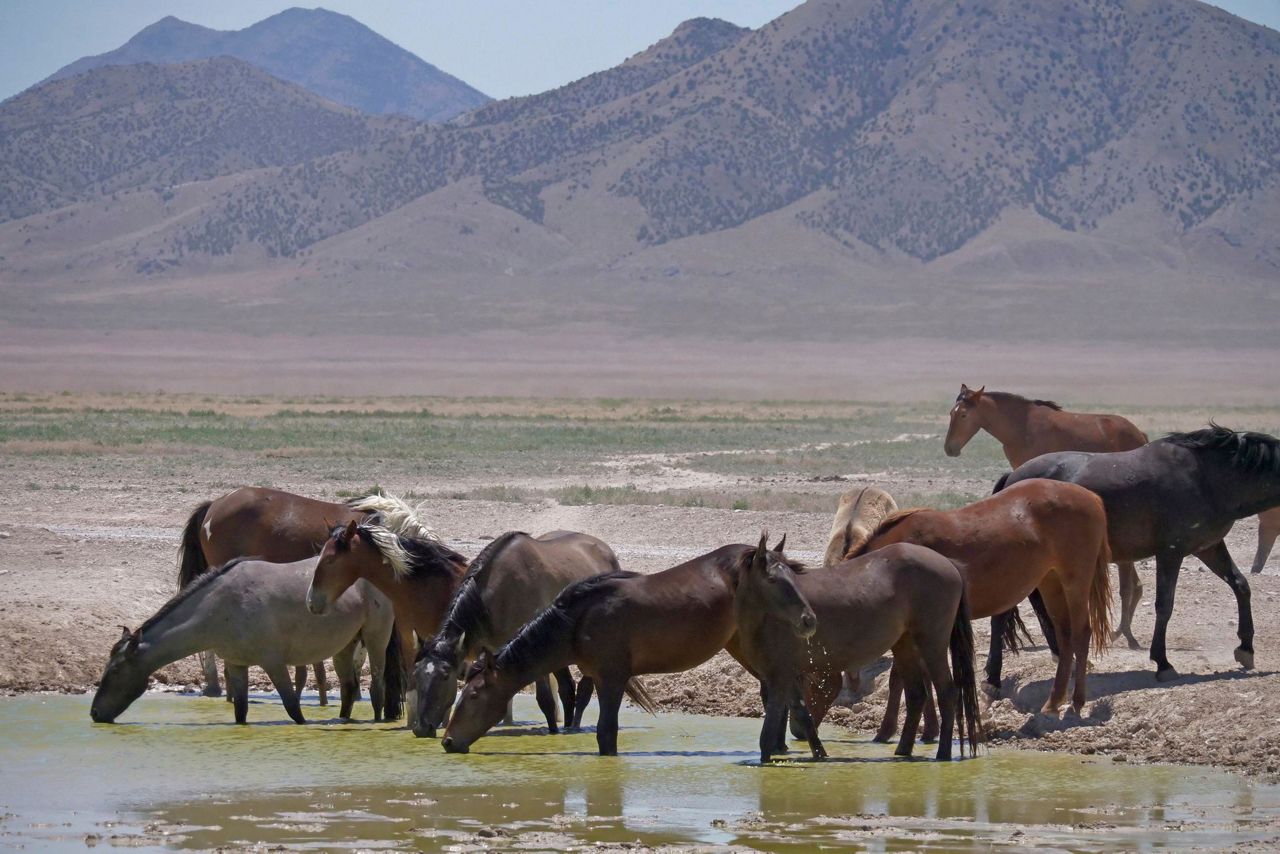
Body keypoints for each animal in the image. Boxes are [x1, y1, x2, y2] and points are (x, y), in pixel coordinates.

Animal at [91, 556, 395, 724]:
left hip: (375, 640)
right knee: (348, 689)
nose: (94, 713)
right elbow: (240, 711)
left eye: (115, 671)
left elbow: (293, 708)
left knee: (377, 687)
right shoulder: (236, 665)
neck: (220, 606)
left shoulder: (273, 663)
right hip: (345, 646)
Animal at [410, 530, 621, 739]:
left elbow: (545, 699)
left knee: (584, 689)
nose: (422, 728)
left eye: (446, 675)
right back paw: (568, 727)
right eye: (417, 674)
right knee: (567, 689)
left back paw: (575, 728)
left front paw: (552, 733)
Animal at [736, 533, 981, 762]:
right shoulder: (781, 675)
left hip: (932, 644)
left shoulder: (780, 673)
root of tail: (948, 563)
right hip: (905, 645)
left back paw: (943, 754)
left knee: (947, 693)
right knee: (916, 695)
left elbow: (773, 723)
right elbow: (796, 710)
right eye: (772, 580)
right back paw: (903, 752)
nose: (808, 620)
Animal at [842, 480, 1112, 742]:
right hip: (1051, 582)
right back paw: (1053, 703)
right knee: (1065, 638)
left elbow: (901, 679)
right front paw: (928, 730)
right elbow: (919, 679)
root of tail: (1091, 497)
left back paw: (1076, 702)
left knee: (1081, 634)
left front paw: (888, 730)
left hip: (1075, 581)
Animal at [997, 425, 1280, 681]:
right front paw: (1163, 663)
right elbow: (1164, 605)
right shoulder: (1171, 553)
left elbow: (1241, 585)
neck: (1206, 478)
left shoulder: (1209, 548)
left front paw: (1246, 648)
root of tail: (1012, 478)